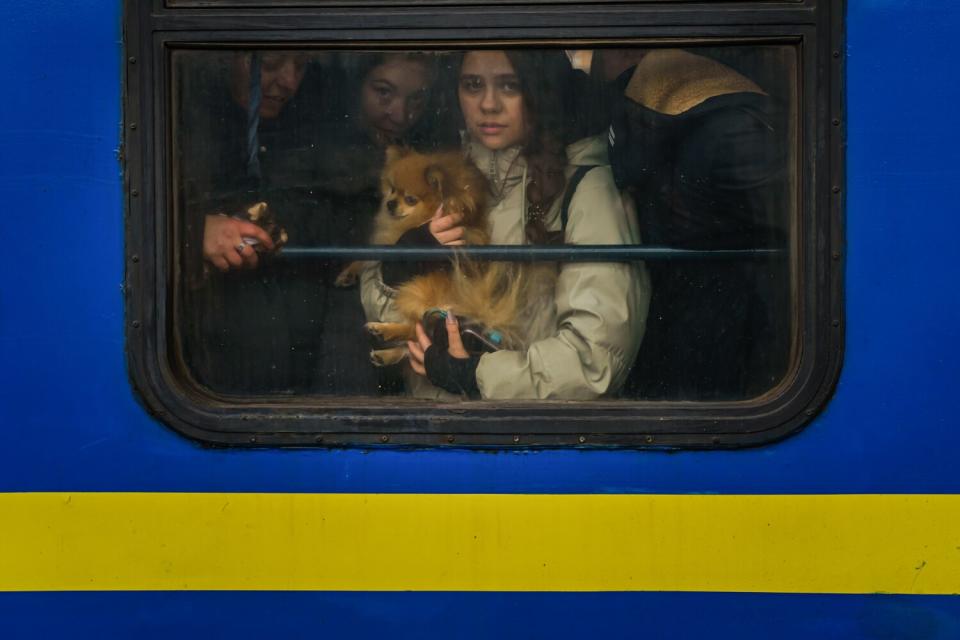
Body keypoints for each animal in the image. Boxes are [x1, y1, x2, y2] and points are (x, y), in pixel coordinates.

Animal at [336, 144, 556, 364]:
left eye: (410, 199)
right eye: (391, 189)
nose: (390, 203)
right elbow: (366, 257)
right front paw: (348, 273)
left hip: (419, 293)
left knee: (418, 330)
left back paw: (384, 332)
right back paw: (385, 353)